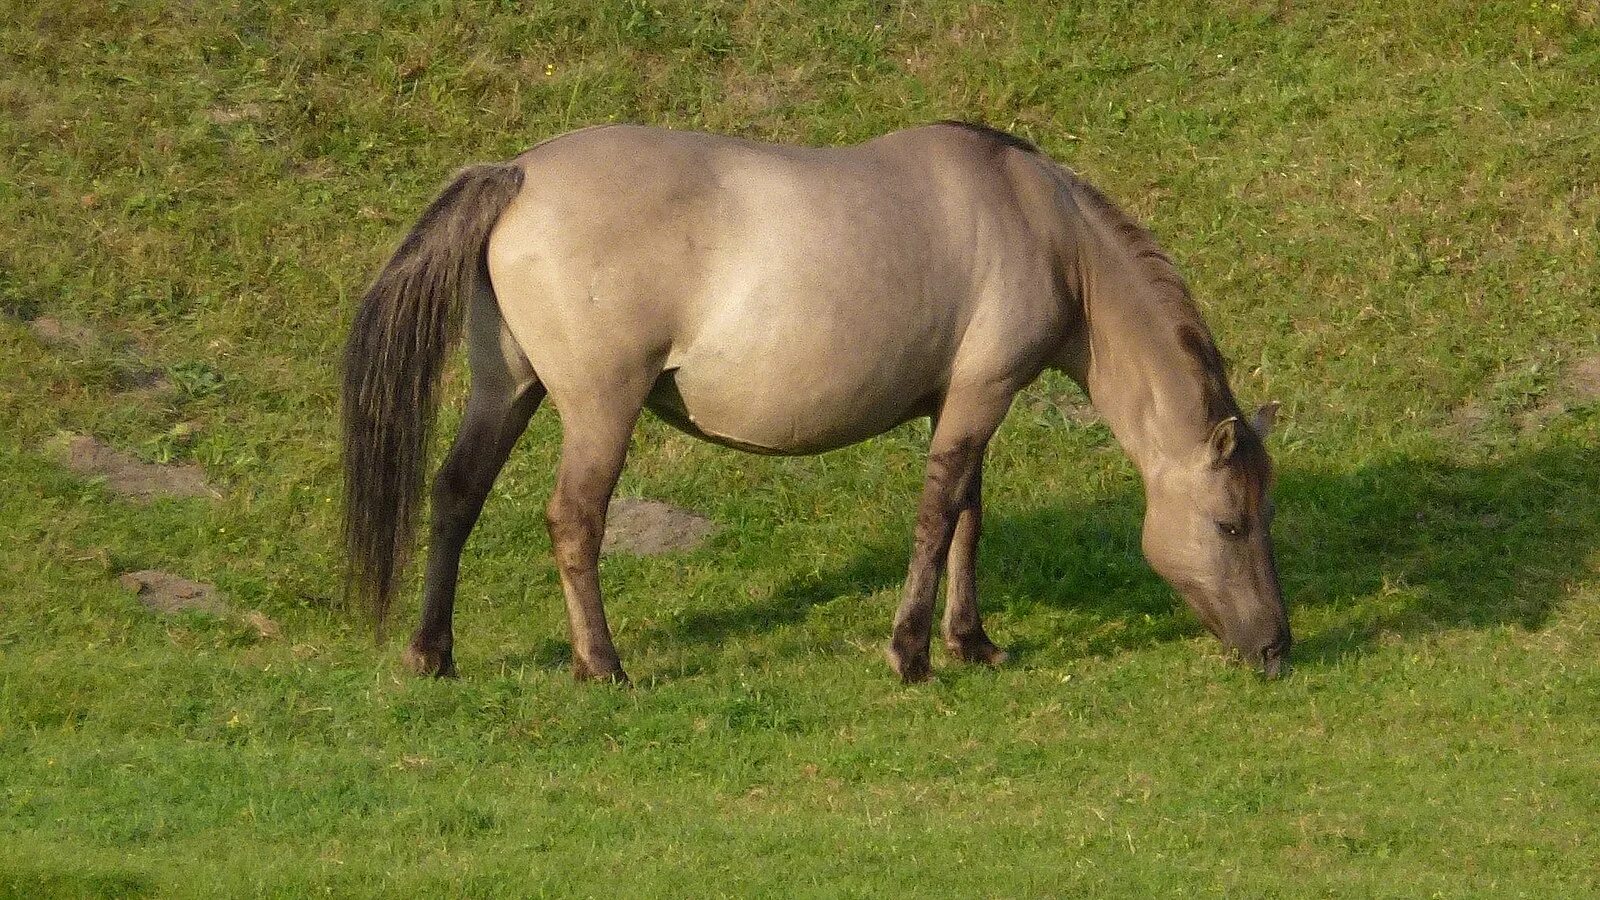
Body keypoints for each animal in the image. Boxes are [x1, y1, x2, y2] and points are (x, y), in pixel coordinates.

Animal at [344, 119, 1292, 679]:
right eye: (1230, 525)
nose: (1277, 648)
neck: (1045, 227)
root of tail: (517, 173)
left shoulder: (964, 400)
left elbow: (968, 520)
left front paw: (971, 641)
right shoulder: (982, 396)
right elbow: (939, 516)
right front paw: (912, 653)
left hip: (506, 389)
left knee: (455, 496)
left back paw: (433, 654)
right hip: (597, 410)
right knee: (574, 521)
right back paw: (601, 664)